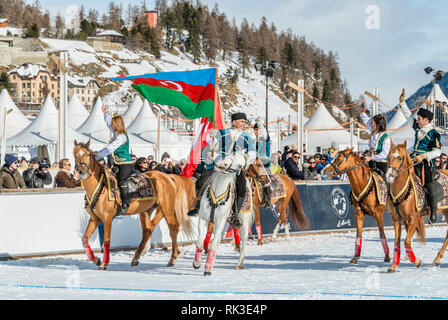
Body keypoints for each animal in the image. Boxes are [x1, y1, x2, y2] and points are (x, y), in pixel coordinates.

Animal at [72, 141, 193, 270]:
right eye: (75, 155)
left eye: (88, 154)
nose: (80, 171)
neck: (100, 186)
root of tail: (168, 176)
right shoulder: (94, 218)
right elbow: (84, 239)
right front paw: (96, 260)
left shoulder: (107, 219)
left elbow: (106, 240)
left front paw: (104, 263)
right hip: (146, 211)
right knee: (147, 231)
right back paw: (135, 259)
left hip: (167, 210)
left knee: (173, 230)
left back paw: (172, 258)